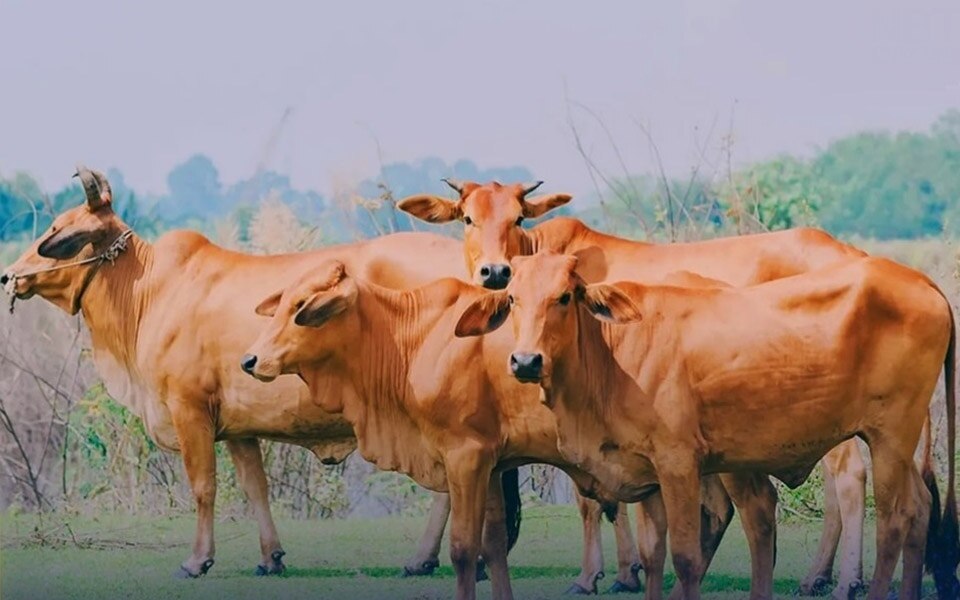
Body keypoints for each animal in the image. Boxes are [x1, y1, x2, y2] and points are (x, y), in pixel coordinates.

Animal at [398, 178, 872, 596]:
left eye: (517, 217)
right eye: (468, 218)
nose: (495, 271)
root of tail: (851, 253)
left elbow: (591, 499)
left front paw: (594, 575)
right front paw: (627, 572)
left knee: (848, 476)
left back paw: (843, 579)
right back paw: (819, 576)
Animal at [460, 251, 960, 600]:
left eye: (564, 297)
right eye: (513, 299)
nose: (526, 361)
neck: (613, 354)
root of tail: (922, 280)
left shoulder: (678, 464)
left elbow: (684, 556)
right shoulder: (647, 475)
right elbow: (654, 555)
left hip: (890, 435)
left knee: (894, 520)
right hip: (896, 441)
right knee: (919, 510)